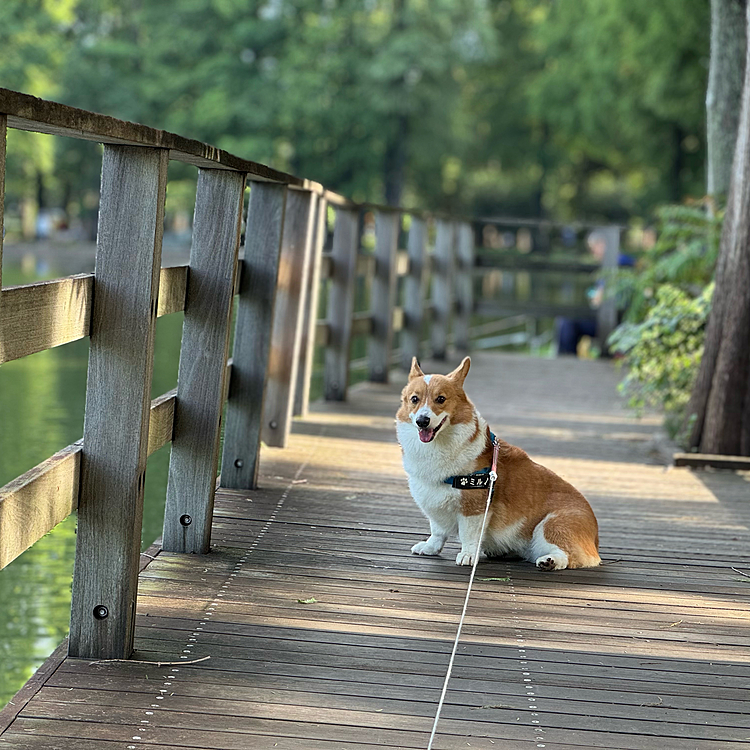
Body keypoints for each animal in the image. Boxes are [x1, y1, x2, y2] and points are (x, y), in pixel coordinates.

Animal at [396, 358, 604, 568]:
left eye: (440, 399)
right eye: (414, 399)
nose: (422, 421)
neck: (438, 445)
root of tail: (595, 540)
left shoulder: (474, 508)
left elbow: (469, 535)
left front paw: (468, 555)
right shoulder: (434, 502)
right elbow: (437, 531)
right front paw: (430, 547)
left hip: (551, 524)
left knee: (572, 555)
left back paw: (550, 561)